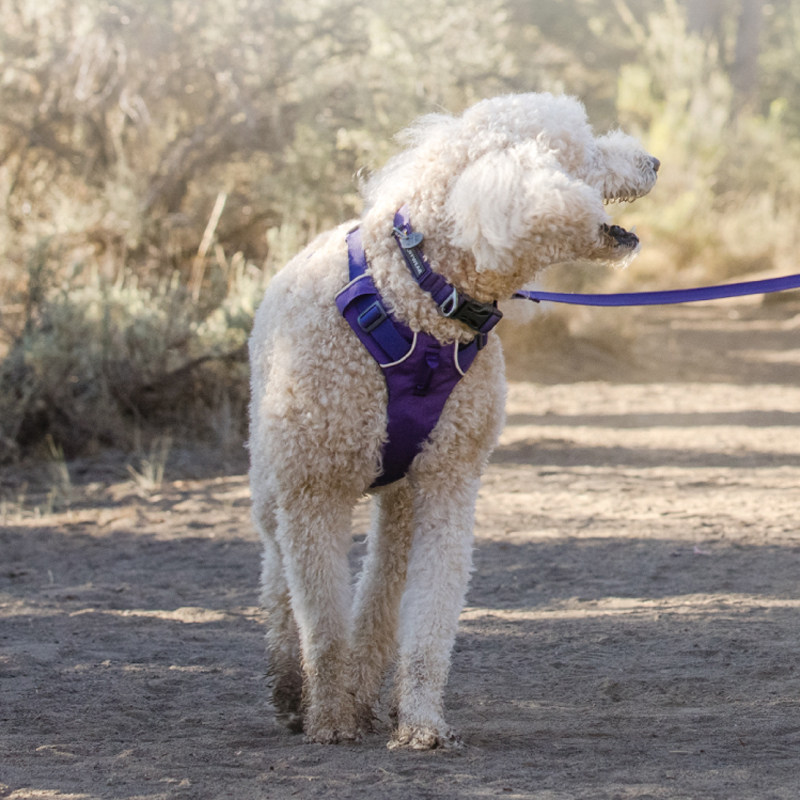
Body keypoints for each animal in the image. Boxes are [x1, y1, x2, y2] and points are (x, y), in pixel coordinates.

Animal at [248, 92, 659, 749]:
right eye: (586, 148)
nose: (653, 161)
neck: (421, 300)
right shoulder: (315, 491)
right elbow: (323, 625)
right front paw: (329, 720)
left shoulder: (448, 481)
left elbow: (431, 616)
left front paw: (419, 723)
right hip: (274, 478)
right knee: (278, 576)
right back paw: (294, 688)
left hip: (400, 495)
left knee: (382, 588)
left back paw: (368, 694)